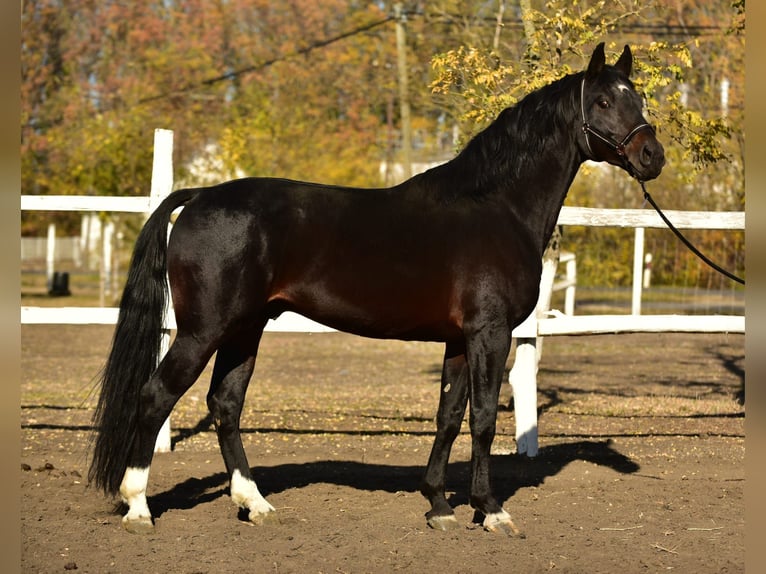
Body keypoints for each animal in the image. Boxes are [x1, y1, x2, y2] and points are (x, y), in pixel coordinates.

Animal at [88, 42, 664, 535]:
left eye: (638, 97)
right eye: (605, 100)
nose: (652, 156)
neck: (496, 208)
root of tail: (200, 195)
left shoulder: (459, 339)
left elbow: (448, 417)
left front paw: (438, 505)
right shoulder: (490, 333)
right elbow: (481, 419)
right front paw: (491, 510)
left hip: (244, 329)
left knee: (225, 404)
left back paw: (255, 503)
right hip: (202, 330)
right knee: (156, 396)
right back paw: (138, 507)